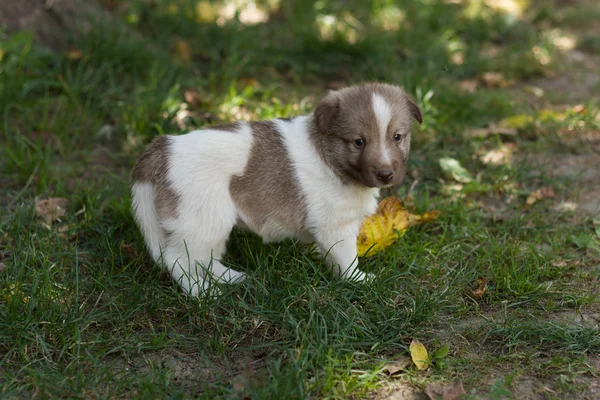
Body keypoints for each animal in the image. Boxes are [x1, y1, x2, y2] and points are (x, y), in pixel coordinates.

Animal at [131, 83, 422, 296]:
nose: (386, 174)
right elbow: (346, 259)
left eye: (398, 137)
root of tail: (162, 148)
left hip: (208, 226)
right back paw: (201, 292)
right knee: (179, 260)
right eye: (358, 142)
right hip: (203, 221)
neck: (331, 157)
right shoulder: (336, 226)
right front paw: (359, 280)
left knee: (204, 258)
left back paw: (230, 277)